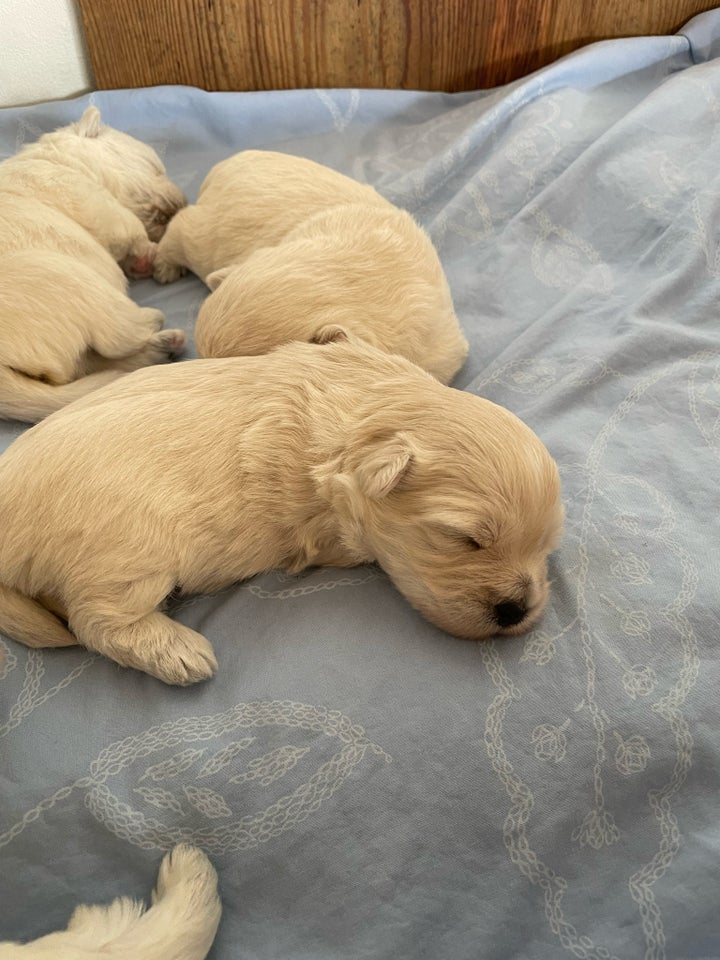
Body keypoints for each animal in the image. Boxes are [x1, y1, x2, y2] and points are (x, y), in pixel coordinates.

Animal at [0, 107, 188, 422]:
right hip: (67, 279)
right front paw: (157, 254)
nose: (184, 204)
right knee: (119, 334)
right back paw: (157, 327)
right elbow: (132, 232)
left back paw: (159, 349)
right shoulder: (99, 205)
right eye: (155, 167)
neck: (59, 160)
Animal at [0, 334, 564, 688]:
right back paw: (181, 653)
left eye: (546, 547)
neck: (368, 418)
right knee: (95, 621)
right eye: (466, 539)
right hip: (129, 550)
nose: (517, 611)